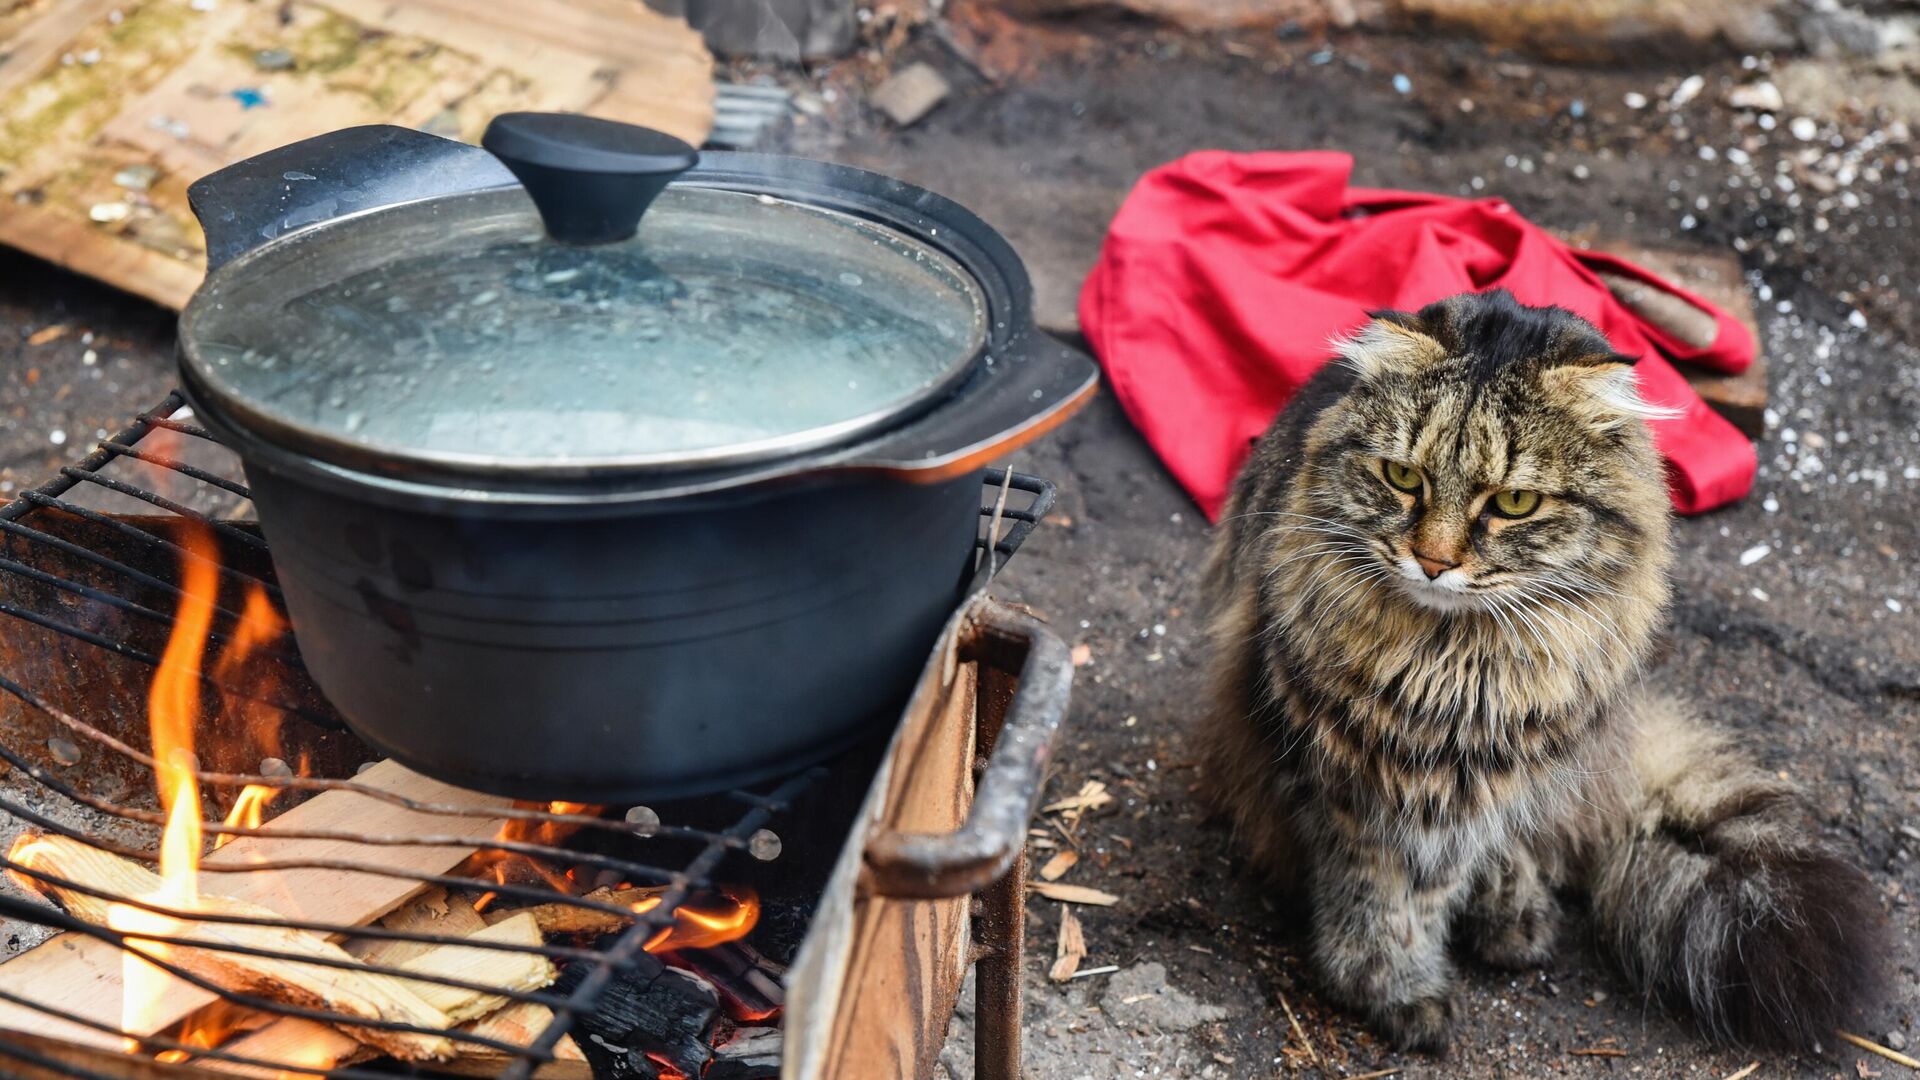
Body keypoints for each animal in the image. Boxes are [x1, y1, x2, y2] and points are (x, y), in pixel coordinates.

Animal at [1198, 290, 1873, 1045]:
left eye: (1514, 503)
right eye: (1402, 478)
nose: (1432, 562)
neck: (1451, 667)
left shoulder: (1482, 776)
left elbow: (1446, 870)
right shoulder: (1342, 774)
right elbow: (1379, 894)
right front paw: (1388, 986)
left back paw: (1513, 910)